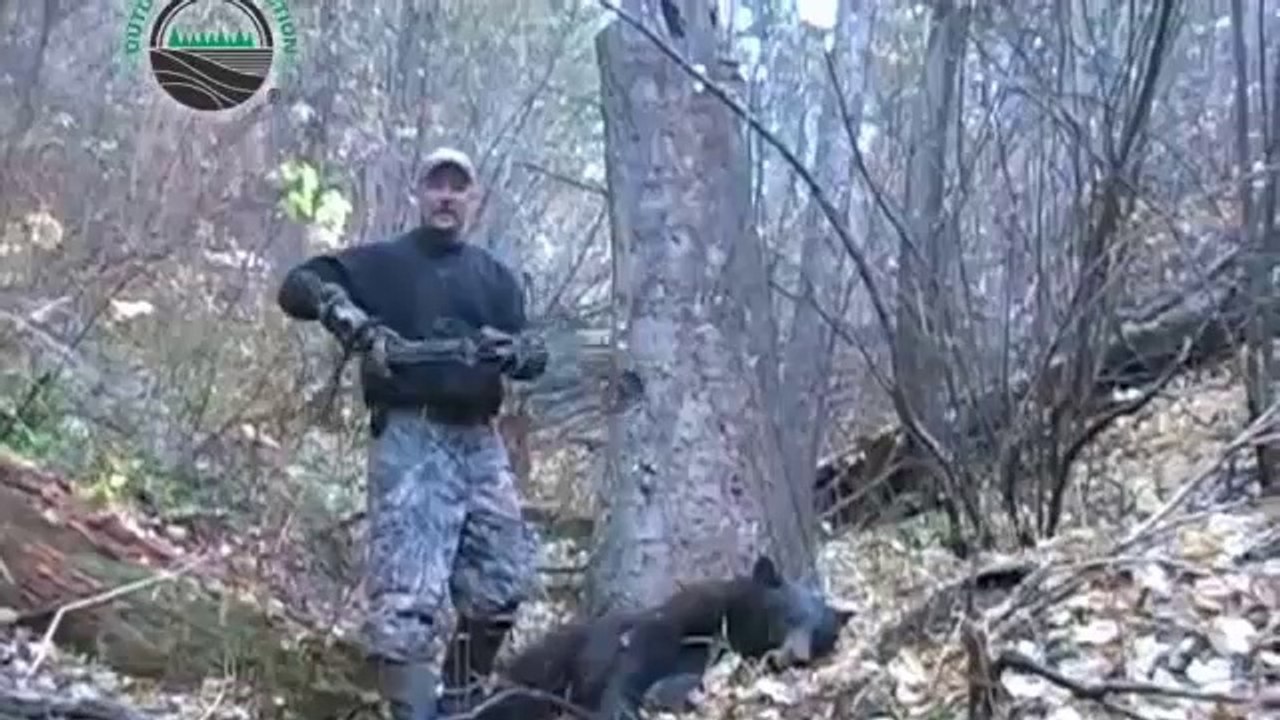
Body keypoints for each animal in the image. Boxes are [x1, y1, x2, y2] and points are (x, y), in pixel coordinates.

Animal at [464, 554, 853, 720]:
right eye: (788, 616)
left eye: (819, 633)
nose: (798, 655)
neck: (739, 629)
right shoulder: (696, 610)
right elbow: (648, 645)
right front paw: (623, 704)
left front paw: (664, 691)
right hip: (556, 656)